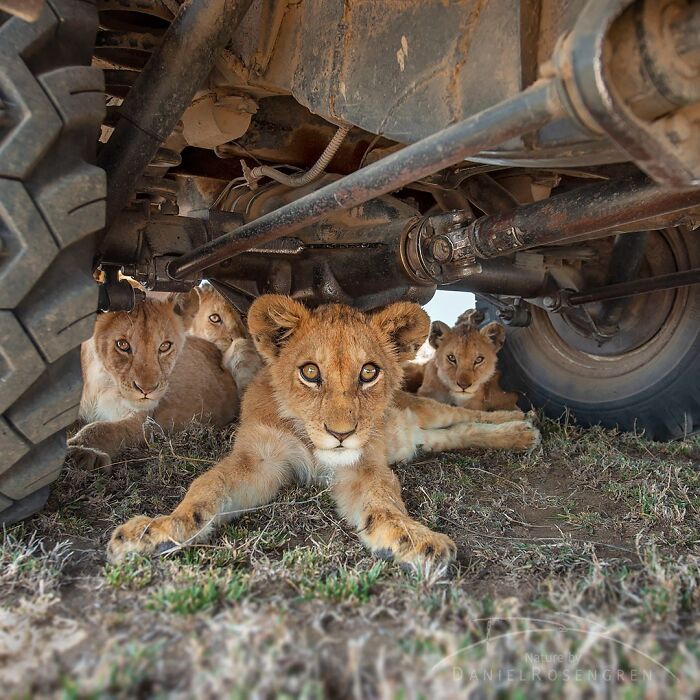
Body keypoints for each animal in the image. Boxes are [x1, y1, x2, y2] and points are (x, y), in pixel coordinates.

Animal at [68, 297, 239, 470]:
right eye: (122, 344)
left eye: (165, 346)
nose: (147, 390)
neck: (100, 382)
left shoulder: (144, 423)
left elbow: (101, 428)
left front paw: (81, 451)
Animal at [107, 295, 538, 567]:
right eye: (310, 372)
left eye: (369, 372)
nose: (341, 434)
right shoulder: (258, 459)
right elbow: (205, 489)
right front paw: (158, 529)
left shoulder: (362, 466)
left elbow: (385, 502)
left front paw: (414, 540)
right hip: (419, 440)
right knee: (458, 431)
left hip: (423, 410)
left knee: (461, 414)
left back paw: (522, 424)